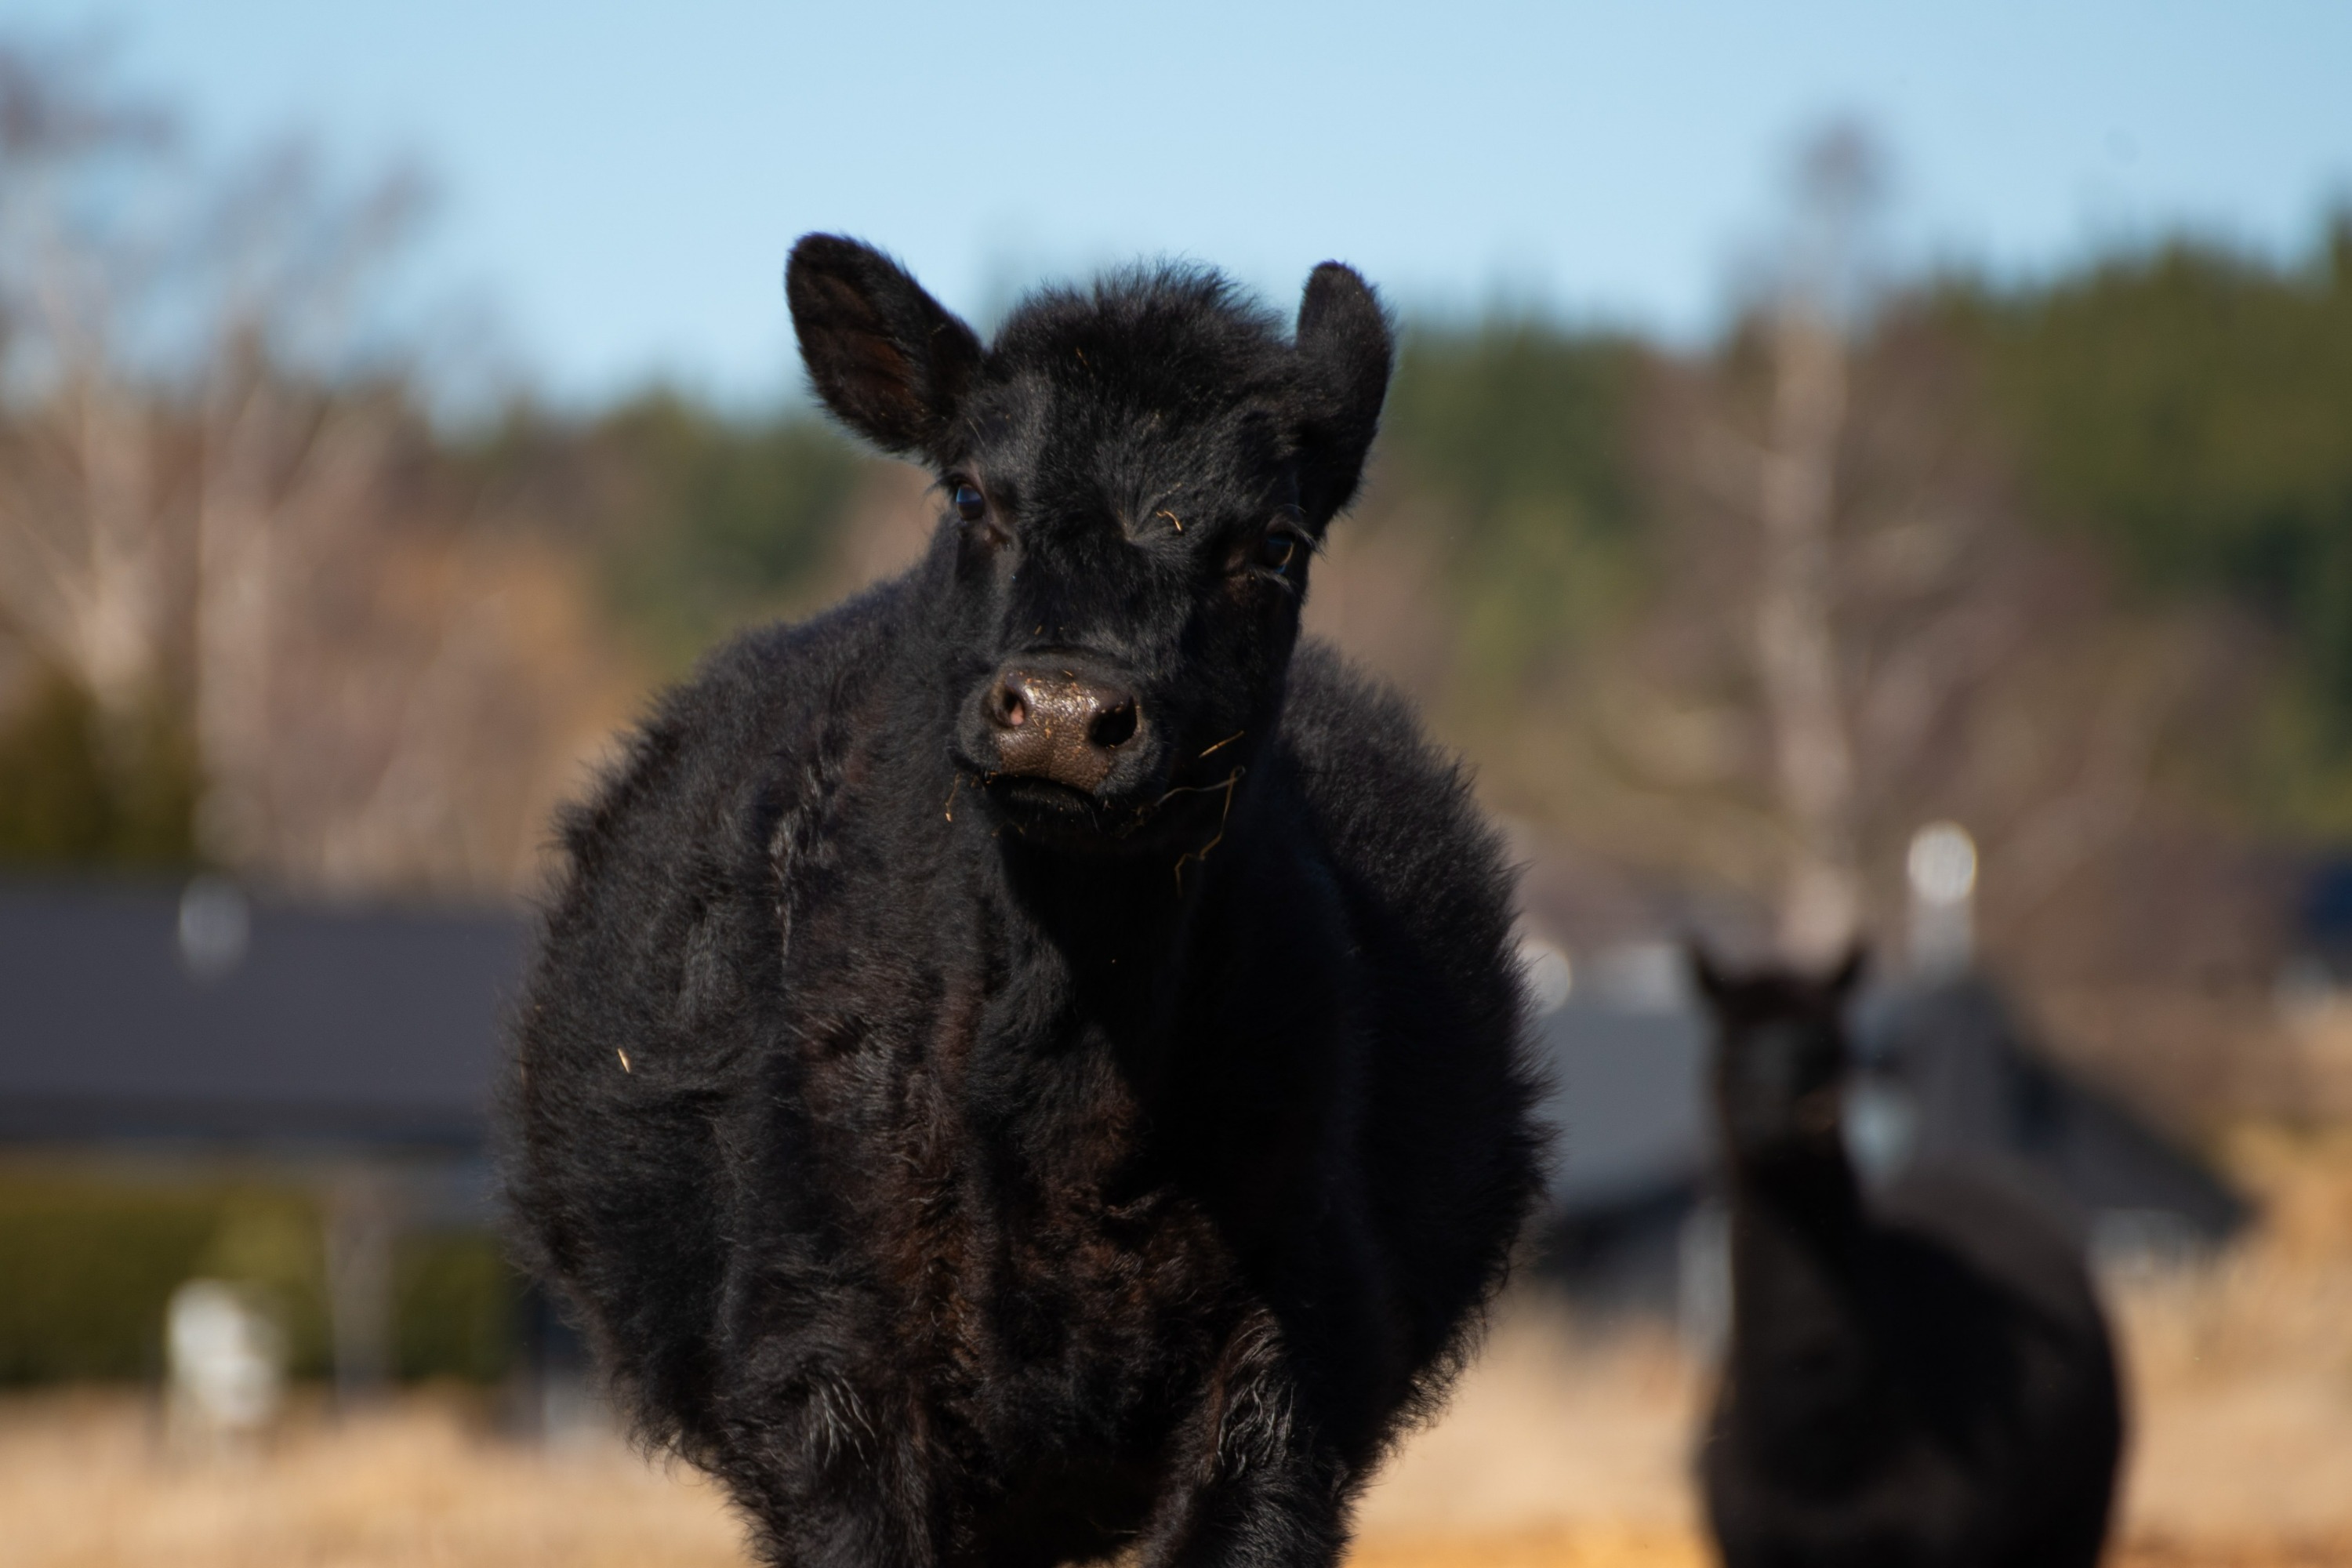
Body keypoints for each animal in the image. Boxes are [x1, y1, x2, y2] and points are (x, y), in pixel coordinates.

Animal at [501, 239, 1543, 1568]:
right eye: (969, 497)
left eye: (1274, 544)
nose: (1061, 709)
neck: (1065, 1065)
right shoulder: (822, 1352)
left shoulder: (1293, 1370)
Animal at [1693, 945, 2136, 1568]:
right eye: (1728, 1045)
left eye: (1828, 1048)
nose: (1777, 1113)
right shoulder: (1751, 1541)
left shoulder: (1935, 1534)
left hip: (2077, 1511)